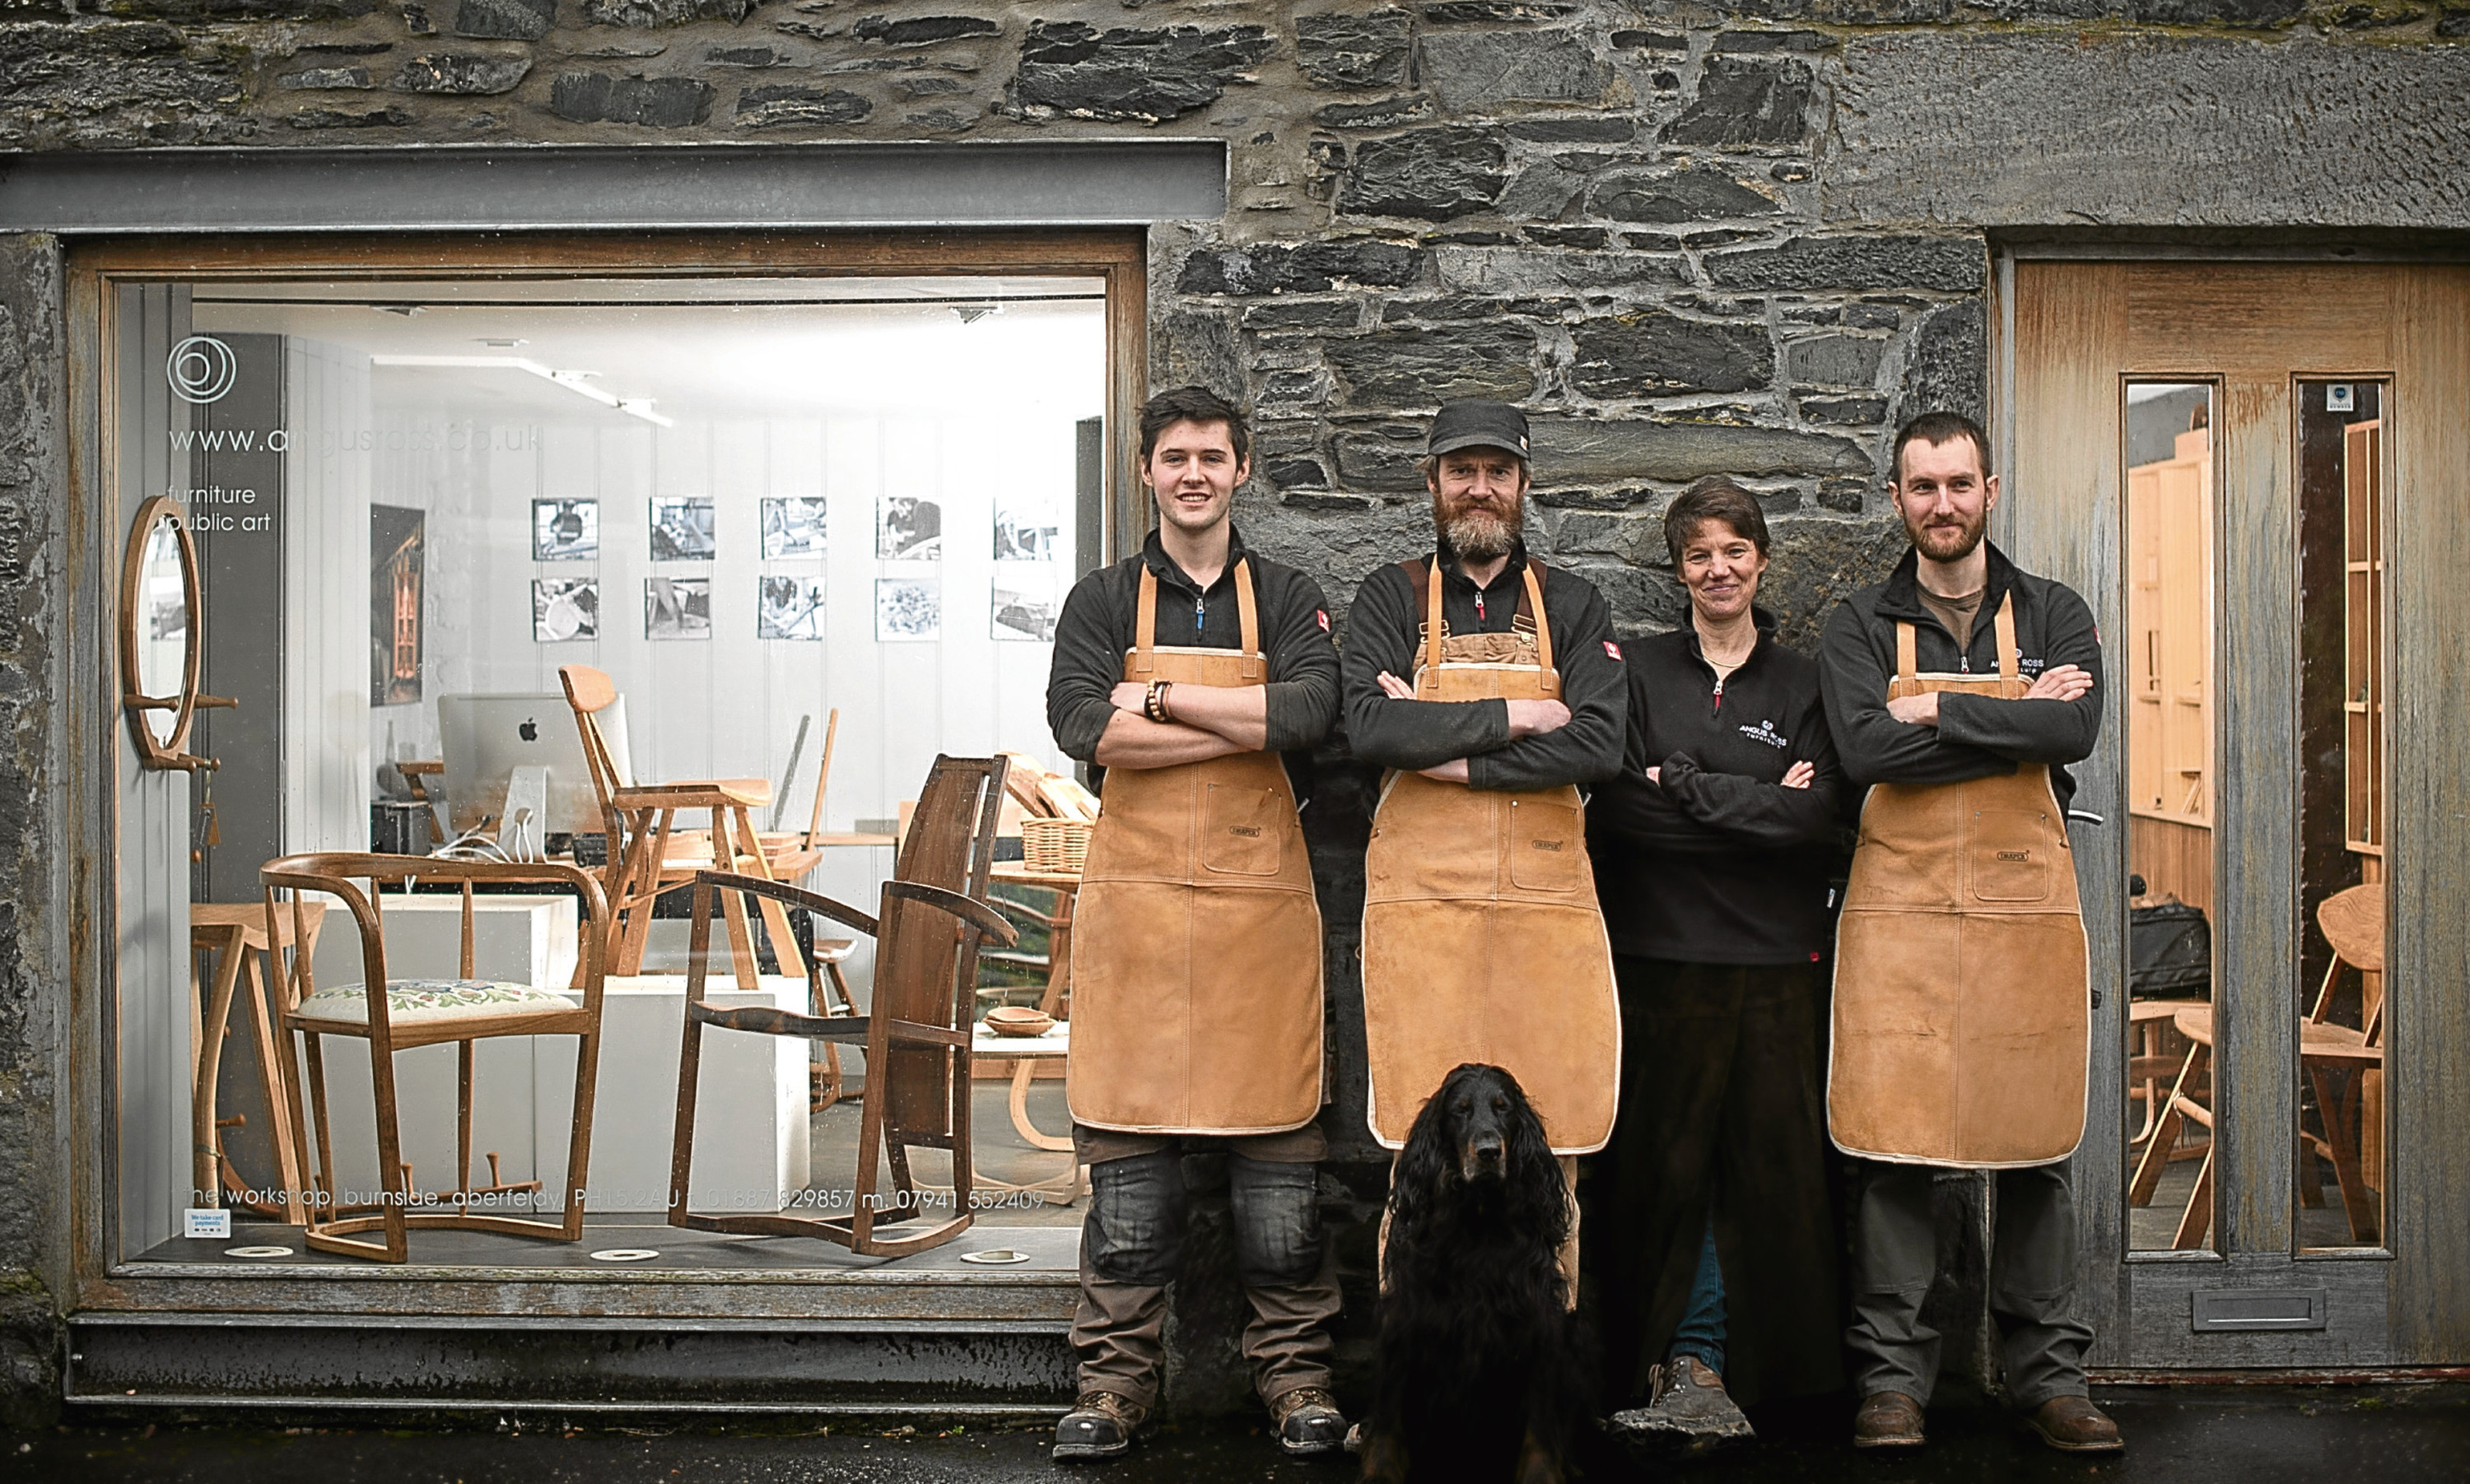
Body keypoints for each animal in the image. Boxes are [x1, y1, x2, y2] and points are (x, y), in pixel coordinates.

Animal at [1363, 1067, 1591, 1482]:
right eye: (1461, 1110)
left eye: (1503, 1108)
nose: (1488, 1152)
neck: (1479, 1218)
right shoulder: (1406, 1320)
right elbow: (1389, 1417)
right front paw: (1380, 1472)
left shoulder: (1539, 1325)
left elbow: (1540, 1425)